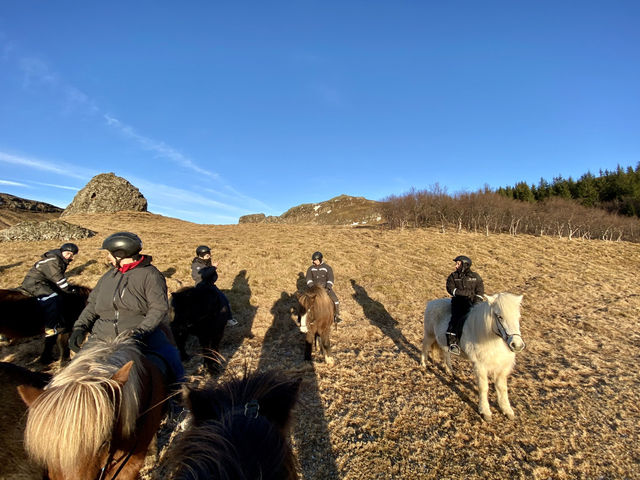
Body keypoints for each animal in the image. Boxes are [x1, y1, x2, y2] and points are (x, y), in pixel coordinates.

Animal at [420, 292, 524, 420]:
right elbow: (483, 387)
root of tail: (432, 303)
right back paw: (423, 364)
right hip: (429, 334)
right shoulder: (480, 365)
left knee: (445, 354)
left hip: (443, 341)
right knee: (425, 347)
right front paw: (485, 412)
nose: (517, 345)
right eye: (500, 317)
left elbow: (502, 388)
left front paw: (507, 410)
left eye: (518, 316)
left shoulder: (501, 367)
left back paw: (449, 370)